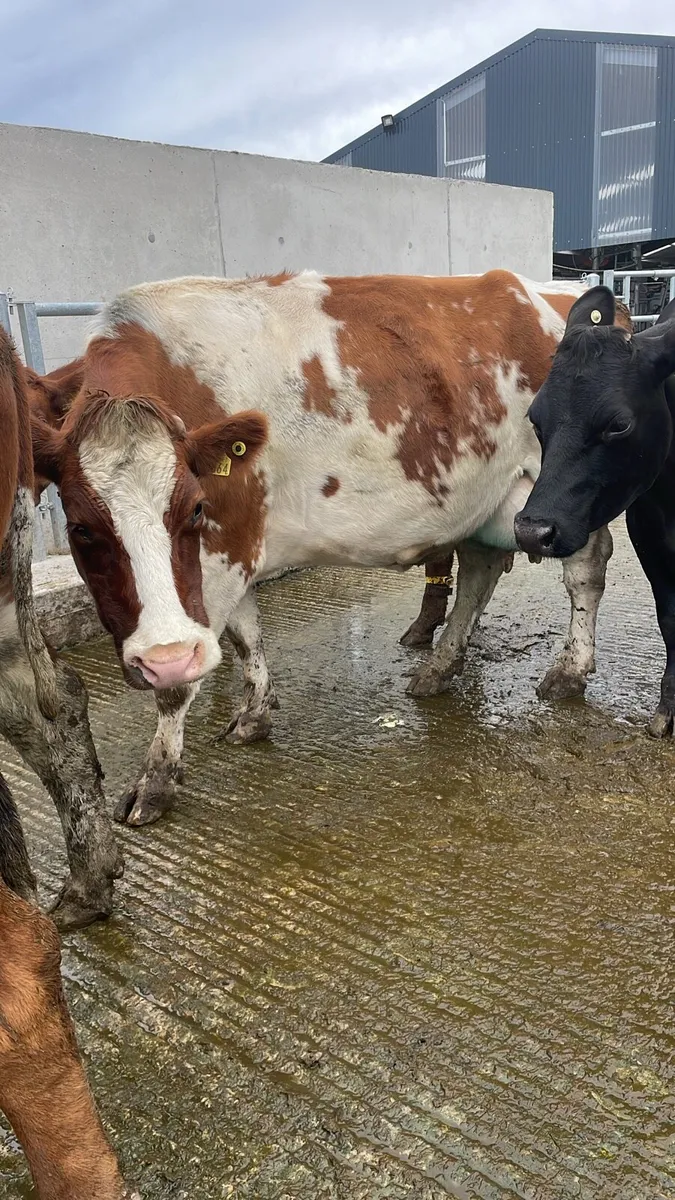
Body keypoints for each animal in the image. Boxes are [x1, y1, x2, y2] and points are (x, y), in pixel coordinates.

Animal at [30, 269, 618, 827]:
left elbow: (180, 681)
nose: (157, 657)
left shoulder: (223, 547)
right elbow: (245, 635)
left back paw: (569, 671)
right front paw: (255, 712)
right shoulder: (237, 548)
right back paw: (439, 667)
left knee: (585, 569)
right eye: (81, 528)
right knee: (480, 568)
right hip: (484, 497)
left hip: (561, 496)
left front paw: (154, 782)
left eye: (194, 508)